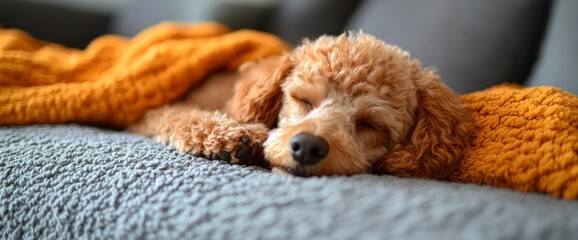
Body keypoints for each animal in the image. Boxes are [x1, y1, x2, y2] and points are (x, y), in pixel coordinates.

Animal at [127, 31, 472, 178]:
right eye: (302, 100)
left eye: (371, 125)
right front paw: (231, 136)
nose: (307, 146)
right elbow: (182, 117)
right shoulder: (157, 110)